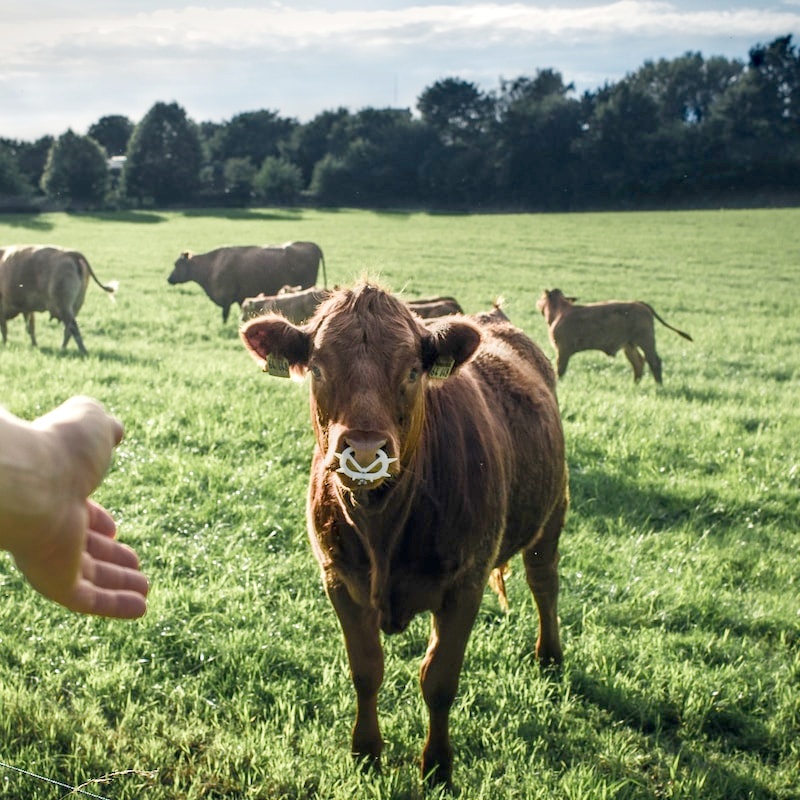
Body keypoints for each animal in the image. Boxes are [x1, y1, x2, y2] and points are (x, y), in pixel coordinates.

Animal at [167, 241, 326, 322]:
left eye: (176, 264)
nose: (169, 279)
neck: (212, 265)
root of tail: (312, 245)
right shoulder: (240, 298)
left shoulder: (227, 298)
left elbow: (224, 317)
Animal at [239, 282, 568, 788]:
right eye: (317, 368)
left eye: (413, 371)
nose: (364, 450)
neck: (383, 526)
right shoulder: (338, 578)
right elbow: (366, 670)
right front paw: (366, 752)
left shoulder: (465, 583)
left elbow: (439, 681)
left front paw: (437, 766)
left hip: (552, 511)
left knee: (543, 581)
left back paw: (549, 654)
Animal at [536, 288, 692, 384]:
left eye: (542, 297)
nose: (537, 302)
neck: (560, 312)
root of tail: (639, 303)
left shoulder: (563, 349)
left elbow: (560, 369)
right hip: (629, 345)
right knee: (638, 362)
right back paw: (635, 385)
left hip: (646, 340)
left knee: (654, 361)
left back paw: (659, 386)